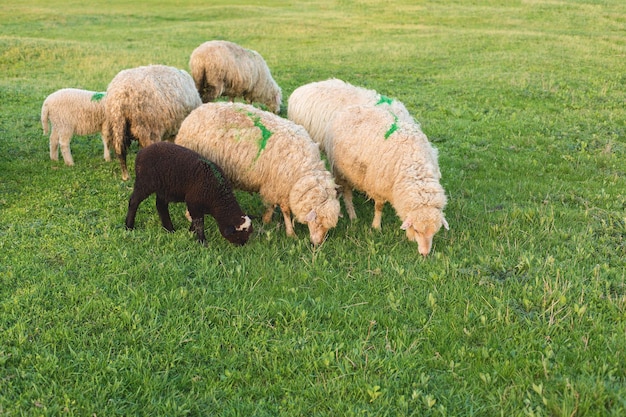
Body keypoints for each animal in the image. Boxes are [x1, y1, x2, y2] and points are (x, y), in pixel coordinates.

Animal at [176, 101, 338, 244]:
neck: (304, 170)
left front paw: (266, 219)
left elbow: (271, 205)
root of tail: (193, 115)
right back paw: (190, 216)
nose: (317, 244)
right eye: (318, 222)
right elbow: (285, 211)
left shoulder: (272, 184)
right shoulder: (280, 185)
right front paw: (291, 233)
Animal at [320, 105, 446, 254]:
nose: (425, 254)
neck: (414, 164)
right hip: (341, 171)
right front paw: (376, 226)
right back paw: (352, 215)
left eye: (434, 232)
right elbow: (379, 207)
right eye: (416, 229)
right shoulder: (379, 186)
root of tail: (349, 108)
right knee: (347, 193)